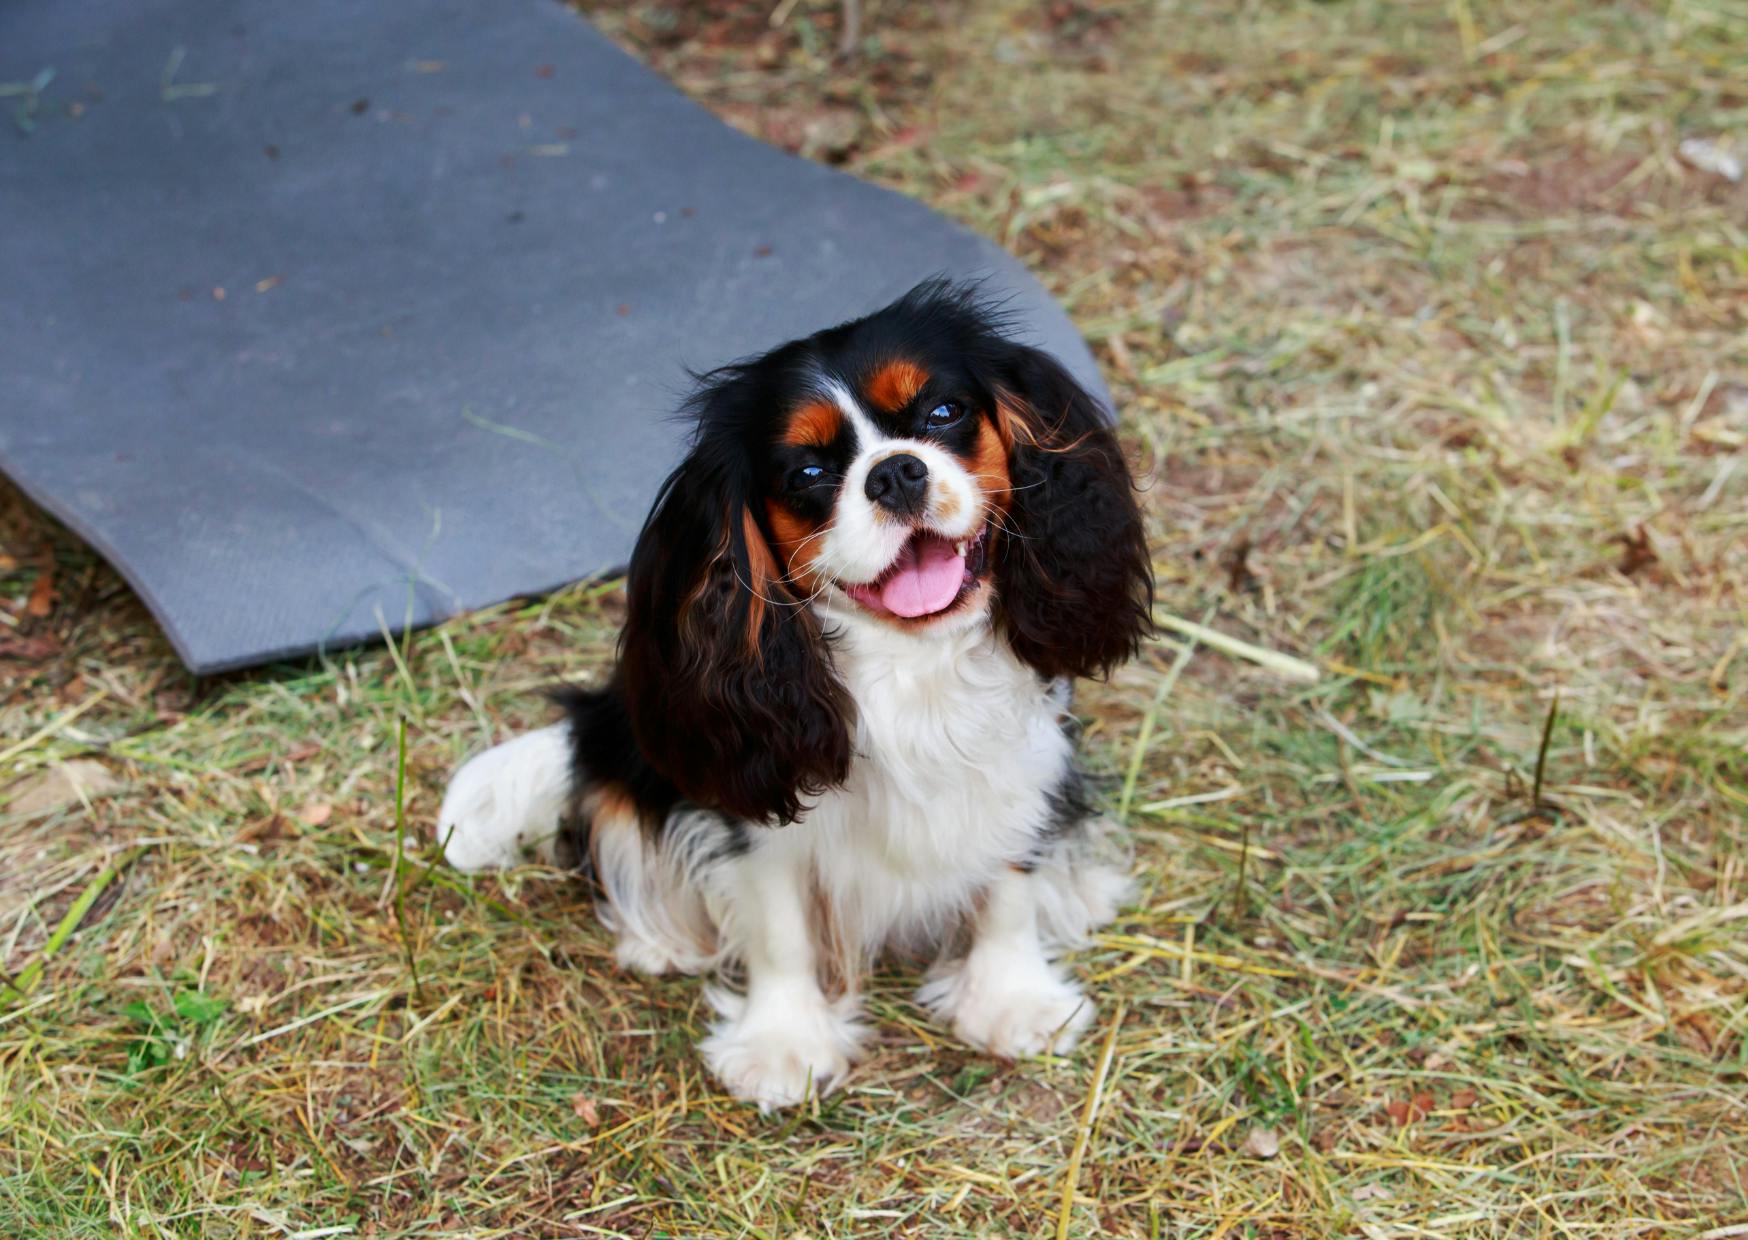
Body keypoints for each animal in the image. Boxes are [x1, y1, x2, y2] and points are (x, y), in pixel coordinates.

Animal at [435, 278, 1146, 1105]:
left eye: (943, 414)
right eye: (806, 475)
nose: (894, 472)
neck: (911, 657)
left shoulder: (1022, 760)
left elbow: (1009, 887)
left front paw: (1010, 1002)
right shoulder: (755, 799)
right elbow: (779, 931)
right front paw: (783, 1045)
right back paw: (661, 938)